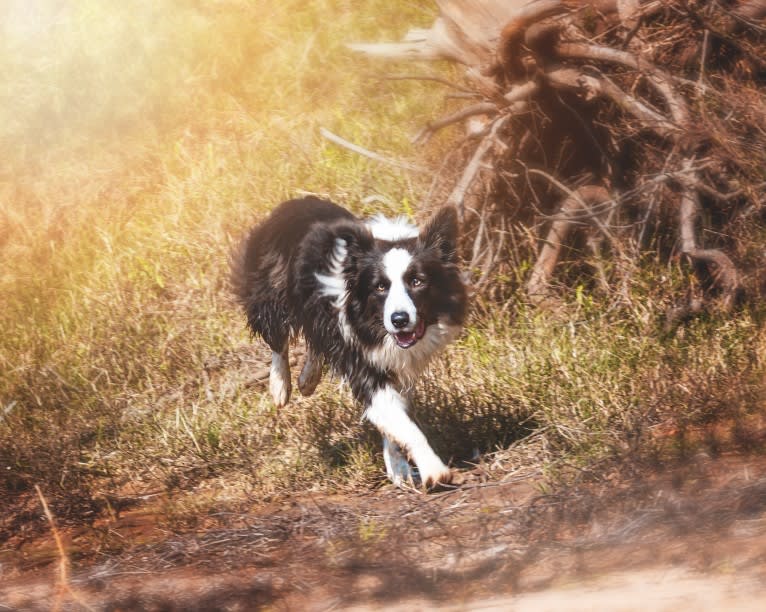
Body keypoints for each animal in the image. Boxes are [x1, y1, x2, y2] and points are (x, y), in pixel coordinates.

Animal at [231, 197, 468, 488]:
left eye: (417, 281)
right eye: (380, 287)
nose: (399, 320)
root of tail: (292, 202)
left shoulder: (393, 360)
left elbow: (393, 414)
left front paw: (398, 468)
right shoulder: (360, 355)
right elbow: (398, 417)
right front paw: (434, 470)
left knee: (315, 343)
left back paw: (307, 379)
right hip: (270, 288)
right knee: (276, 337)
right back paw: (280, 386)